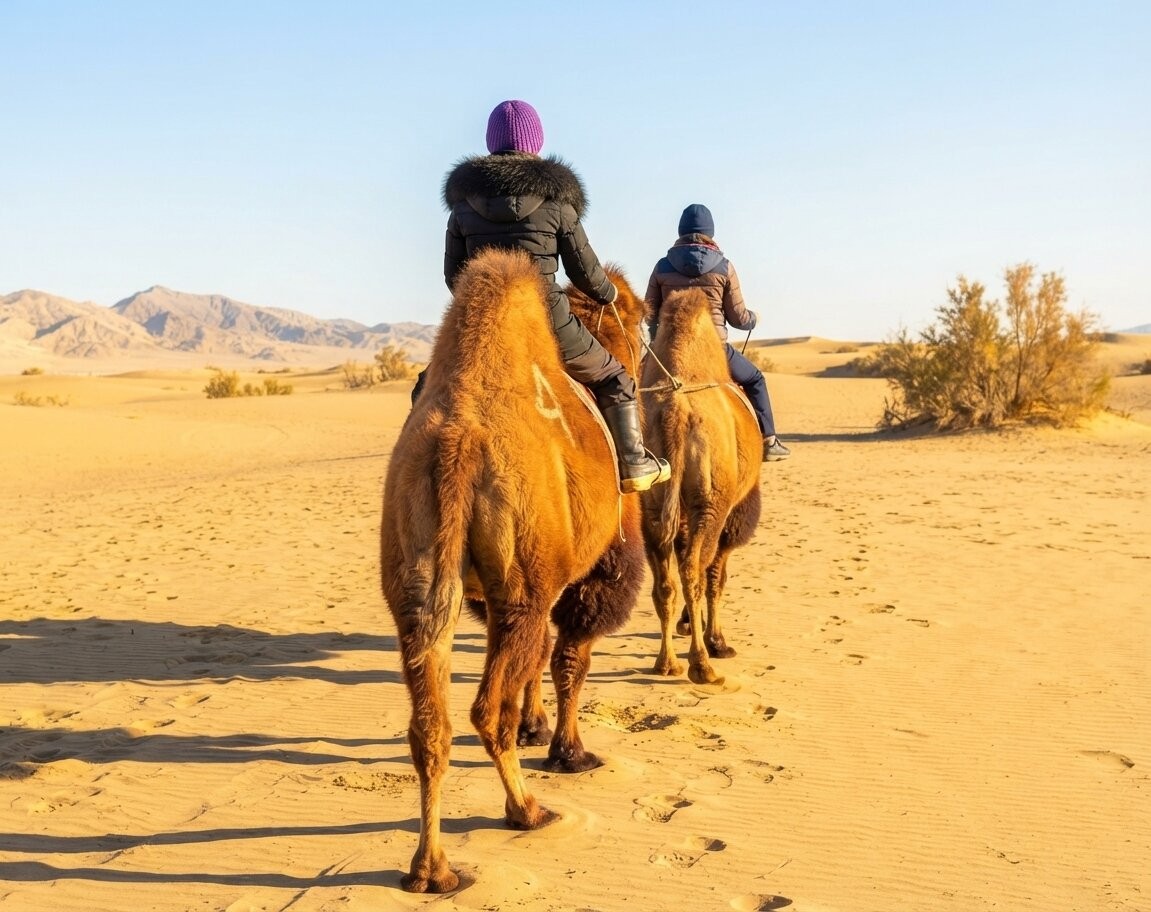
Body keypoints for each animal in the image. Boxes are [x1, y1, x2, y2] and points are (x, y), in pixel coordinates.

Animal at [380, 247, 647, 893]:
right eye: (638, 320)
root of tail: (458, 443)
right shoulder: (597, 566)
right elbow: (570, 657)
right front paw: (569, 752)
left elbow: (543, 656)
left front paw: (538, 727)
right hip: (519, 591)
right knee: (486, 709)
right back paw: (526, 810)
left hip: (421, 590)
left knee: (430, 726)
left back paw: (432, 870)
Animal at [639, 287, 763, 686]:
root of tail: (676, 411)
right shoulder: (733, 511)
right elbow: (716, 574)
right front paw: (717, 639)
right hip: (710, 504)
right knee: (696, 570)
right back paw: (702, 663)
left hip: (651, 504)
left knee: (666, 581)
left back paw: (666, 662)